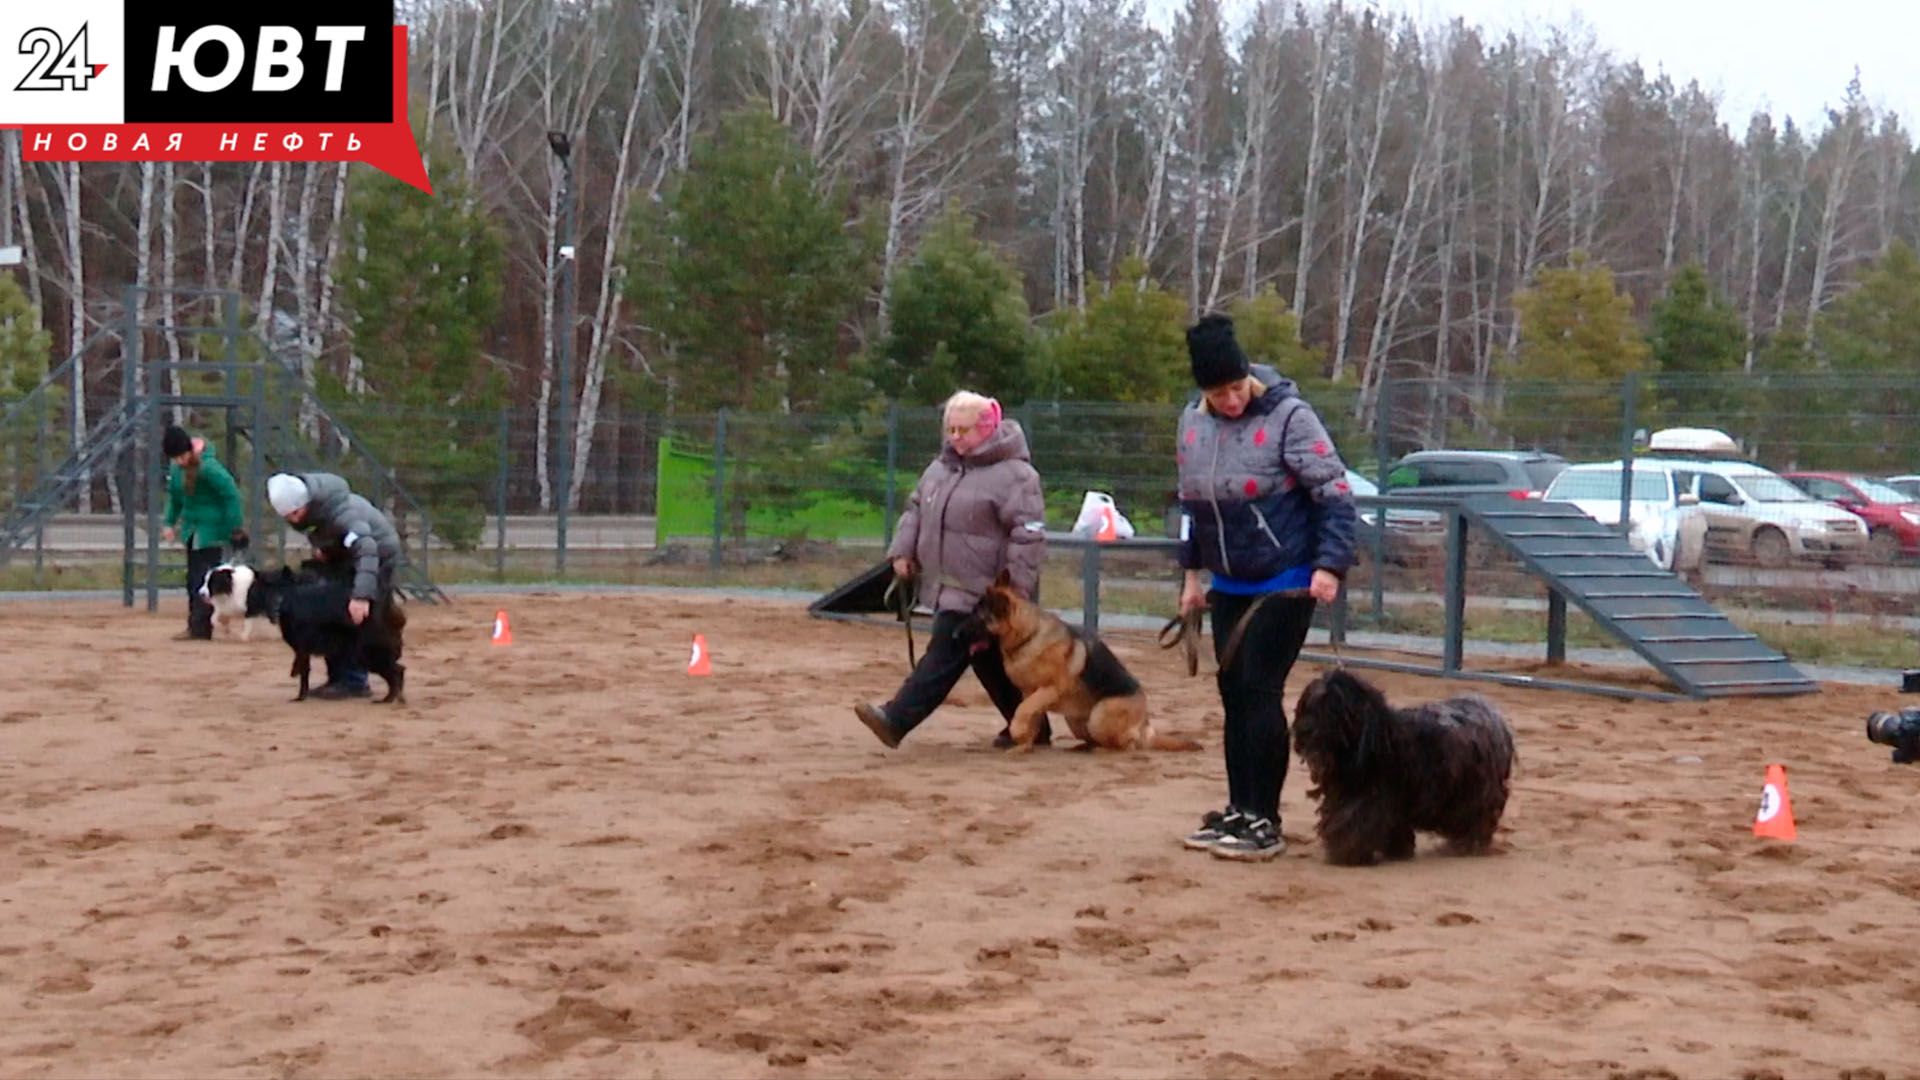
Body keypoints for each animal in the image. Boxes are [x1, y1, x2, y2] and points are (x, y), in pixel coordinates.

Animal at [251, 557, 405, 703]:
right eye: (267, 592)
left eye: (283, 588)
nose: (276, 608)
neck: (294, 600)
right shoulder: (303, 651)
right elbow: (305, 673)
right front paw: (302, 696)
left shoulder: (302, 649)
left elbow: (303, 672)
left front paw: (301, 697)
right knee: (398, 671)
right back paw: (396, 699)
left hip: (370, 652)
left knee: (396, 672)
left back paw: (389, 700)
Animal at [975, 572, 1198, 749]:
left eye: (976, 618)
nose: (960, 631)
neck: (1028, 635)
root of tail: (1145, 723)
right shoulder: (1030, 693)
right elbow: (1030, 715)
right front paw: (1023, 744)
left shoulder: (1049, 690)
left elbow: (1023, 709)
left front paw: (1017, 731)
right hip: (1075, 721)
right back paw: (1084, 747)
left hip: (1099, 718)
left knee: (1128, 743)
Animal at [1290, 664, 1512, 864]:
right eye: (1308, 706)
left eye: (1330, 708)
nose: (1305, 730)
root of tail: (1491, 717)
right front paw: (1397, 850)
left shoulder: (1369, 798)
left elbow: (1355, 825)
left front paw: (1348, 854)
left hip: (1473, 792)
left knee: (1475, 817)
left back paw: (1467, 844)